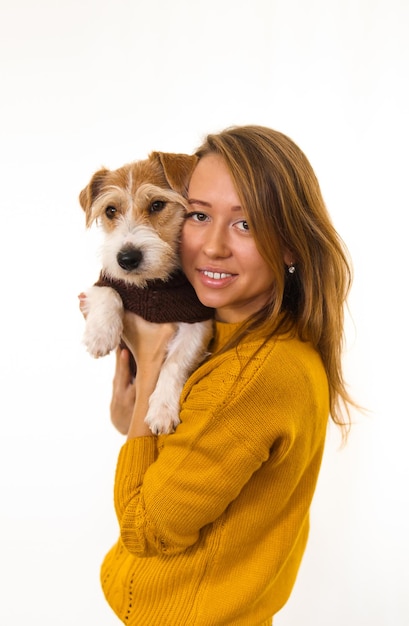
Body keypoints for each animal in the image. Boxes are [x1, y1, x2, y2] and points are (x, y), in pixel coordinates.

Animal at [79, 152, 214, 434]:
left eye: (157, 205)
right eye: (110, 210)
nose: (127, 259)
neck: (151, 284)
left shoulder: (199, 322)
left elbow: (175, 361)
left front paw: (162, 409)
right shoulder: (97, 286)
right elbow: (109, 292)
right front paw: (100, 335)